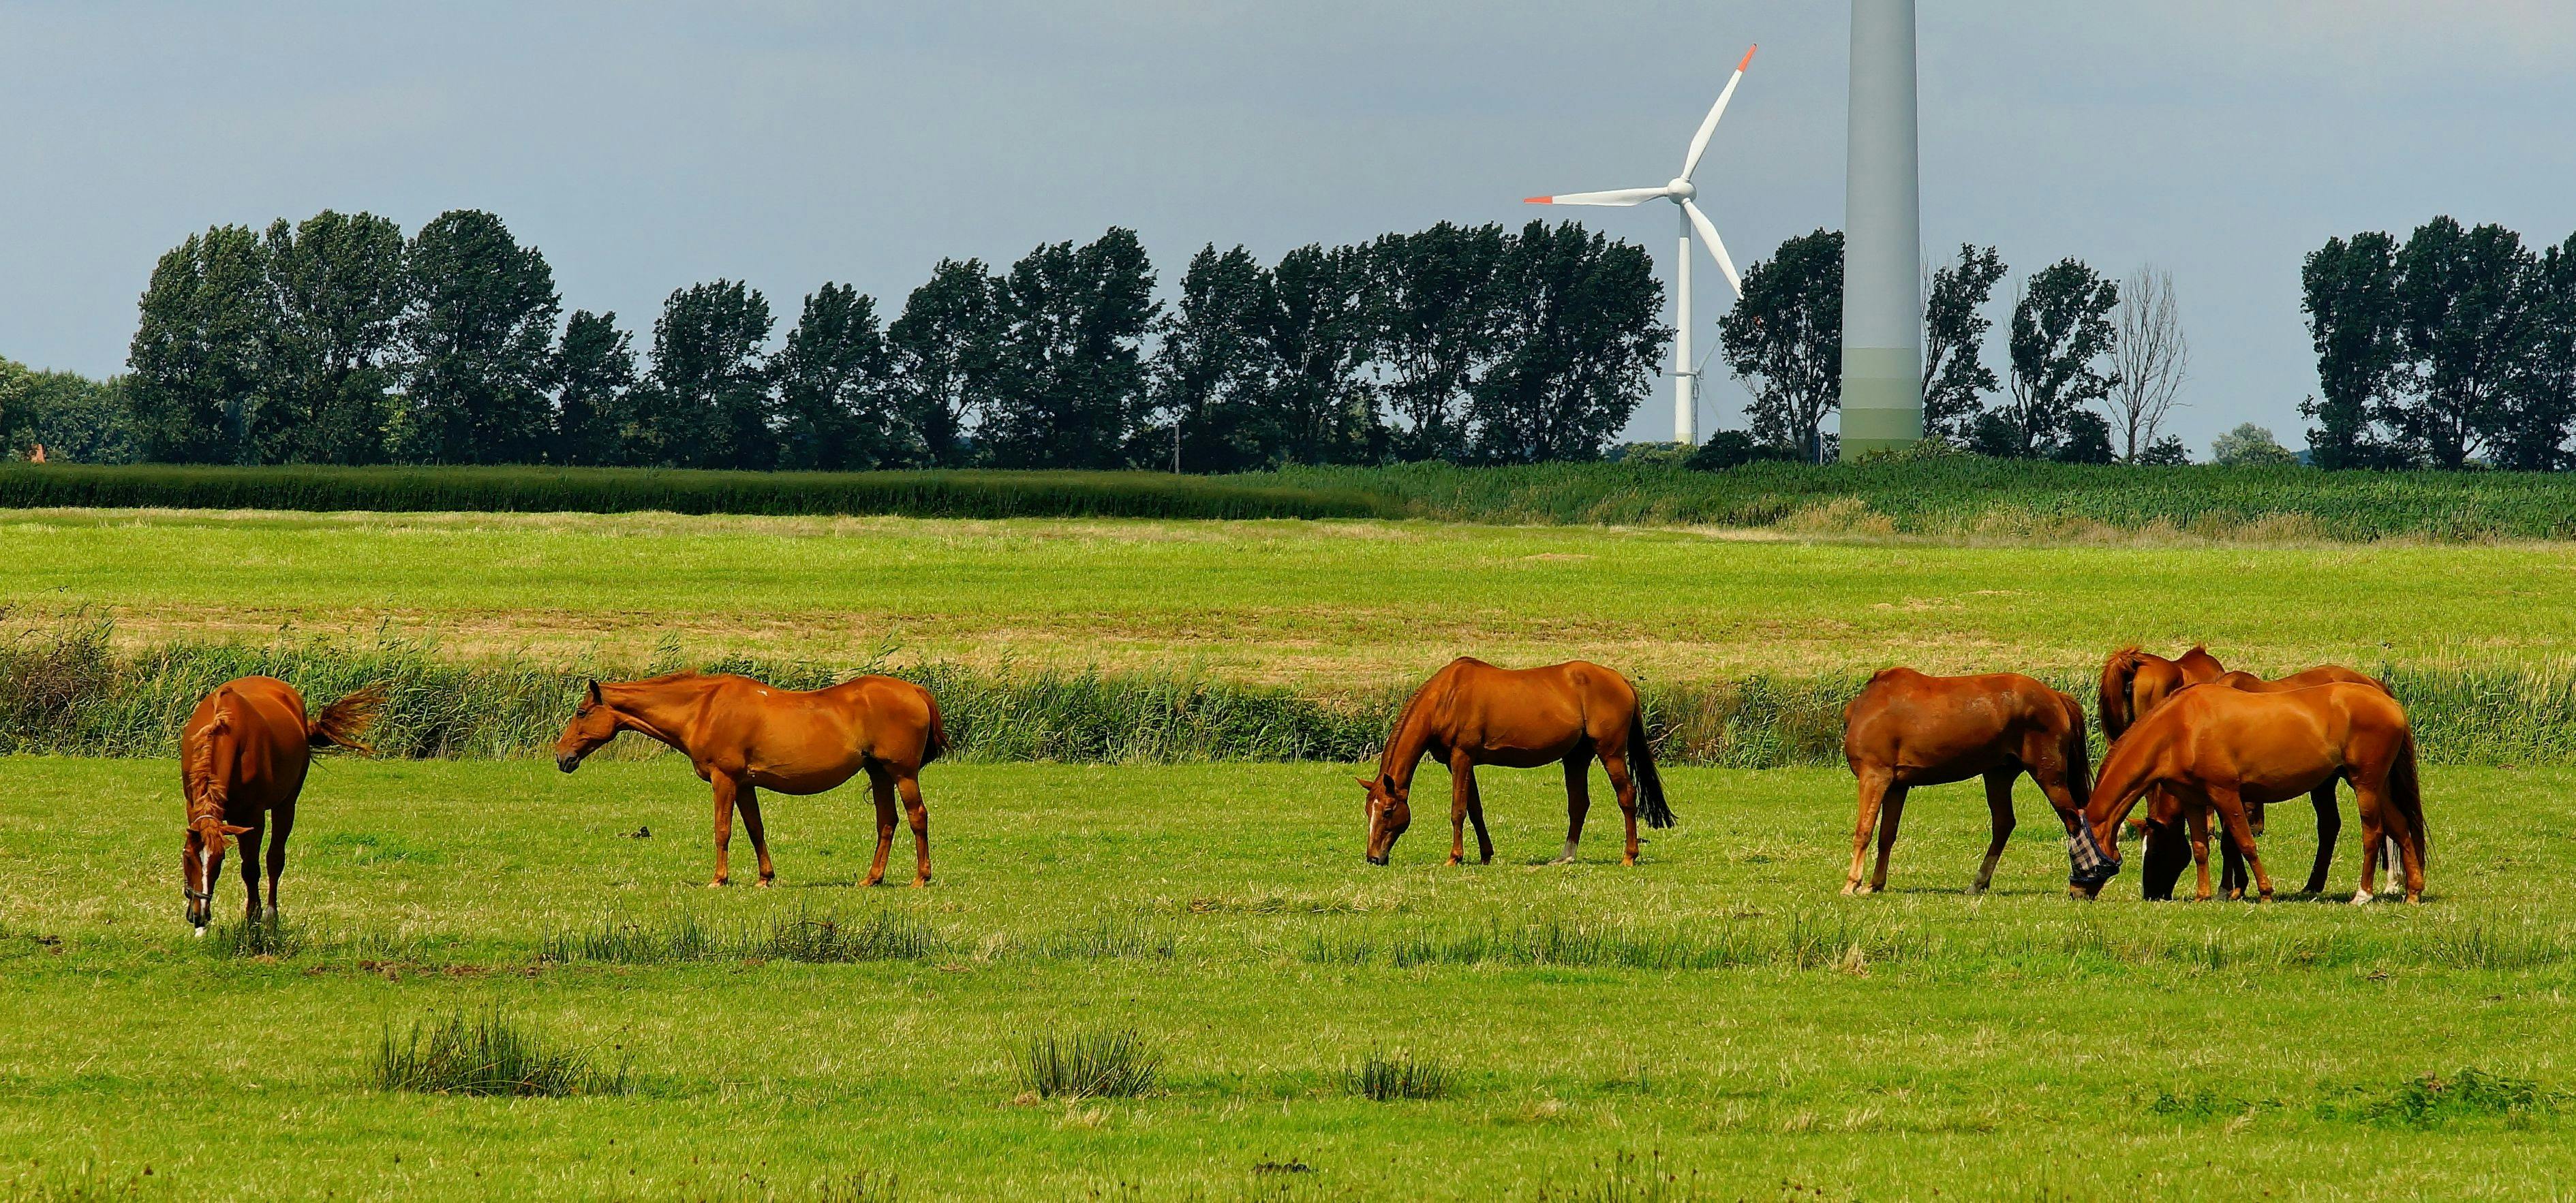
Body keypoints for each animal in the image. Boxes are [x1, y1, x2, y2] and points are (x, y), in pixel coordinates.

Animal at [177, 680, 381, 932]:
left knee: (275, 859)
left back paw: (271, 915)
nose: (199, 915)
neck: (224, 731)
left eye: (220, 859)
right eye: (188, 857)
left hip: (286, 805)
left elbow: (250, 869)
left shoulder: (252, 818)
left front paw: (253, 917)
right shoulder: (194, 808)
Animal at [553, 674, 948, 891]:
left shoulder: (724, 780)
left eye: (581, 712)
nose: (561, 756)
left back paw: (921, 878)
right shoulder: (744, 785)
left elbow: (723, 830)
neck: (704, 708)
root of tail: (915, 691)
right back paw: (872, 878)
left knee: (917, 817)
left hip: (902, 774)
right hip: (878, 773)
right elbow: (755, 829)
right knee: (887, 822)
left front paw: (719, 879)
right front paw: (765, 877)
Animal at [1349, 659, 1669, 865]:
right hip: (1576, 756)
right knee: (1579, 804)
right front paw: (1486, 855)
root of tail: (1621, 681)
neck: (1447, 697)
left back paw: (1629, 856)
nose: (1374, 858)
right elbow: (1475, 809)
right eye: (1368, 811)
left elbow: (1458, 810)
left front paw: (1454, 858)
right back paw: (1565, 857)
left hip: (1611, 753)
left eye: (1388, 811)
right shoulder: (1461, 762)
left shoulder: (1461, 757)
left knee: (1627, 797)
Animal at [1834, 674, 2091, 901]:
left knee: (2073, 821)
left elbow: (1864, 831)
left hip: (2049, 777)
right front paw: (1874, 885)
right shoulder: (1898, 786)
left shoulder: (1874, 776)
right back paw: (1978, 883)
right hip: (1998, 775)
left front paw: (1851, 884)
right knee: (2004, 824)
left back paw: (2084, 884)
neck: (1871, 703)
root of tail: (2056, 697)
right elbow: (1887, 835)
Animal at [2081, 685, 2421, 907]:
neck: (2180, 727)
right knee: (2401, 827)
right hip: (2376, 787)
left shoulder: (2226, 793)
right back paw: (2413, 892)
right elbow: (2202, 848)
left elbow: (2244, 843)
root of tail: (2390, 702)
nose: (2076, 891)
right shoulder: (2195, 800)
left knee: (2373, 832)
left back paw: (2363, 895)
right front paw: (2206, 895)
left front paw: (2264, 892)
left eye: (2154, 851)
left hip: (2365, 786)